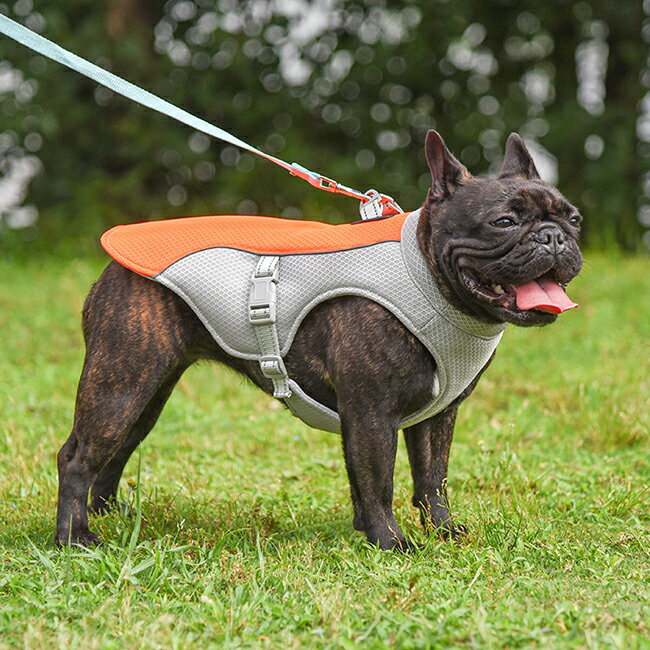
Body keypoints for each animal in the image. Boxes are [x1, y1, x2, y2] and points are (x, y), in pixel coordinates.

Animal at [55, 130, 584, 548]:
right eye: (504, 222)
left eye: (574, 219)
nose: (554, 236)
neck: (425, 277)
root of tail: (114, 258)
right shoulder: (372, 413)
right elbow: (378, 479)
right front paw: (391, 542)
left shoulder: (436, 416)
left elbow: (431, 478)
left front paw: (442, 532)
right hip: (122, 383)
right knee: (78, 456)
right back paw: (76, 538)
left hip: (147, 389)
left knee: (117, 448)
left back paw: (109, 516)